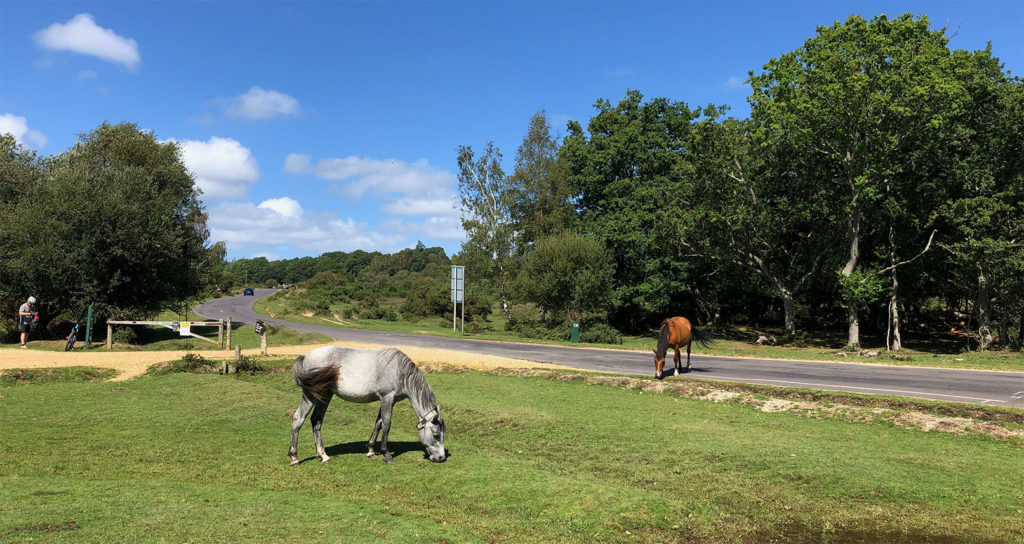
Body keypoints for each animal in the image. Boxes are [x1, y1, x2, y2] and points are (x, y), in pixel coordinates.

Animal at [290, 346, 446, 467]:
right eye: (436, 435)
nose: (441, 458)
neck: (400, 371)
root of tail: (305, 356)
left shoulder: (390, 401)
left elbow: (378, 423)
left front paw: (371, 450)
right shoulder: (387, 398)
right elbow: (387, 424)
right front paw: (386, 454)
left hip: (325, 395)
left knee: (316, 420)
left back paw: (323, 455)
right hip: (310, 396)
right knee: (298, 419)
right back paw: (294, 457)